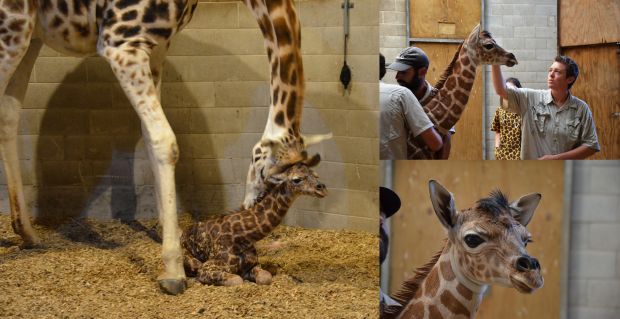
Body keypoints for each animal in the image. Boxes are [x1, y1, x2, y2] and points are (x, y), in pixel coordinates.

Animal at [0, 0, 322, 296]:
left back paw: (27, 233)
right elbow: (164, 140)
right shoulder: (120, 43)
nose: (248, 209)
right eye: (281, 175)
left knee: (9, 112)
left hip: (30, 34)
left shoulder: (156, 48)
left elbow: (149, 136)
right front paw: (173, 272)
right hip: (13, 25)